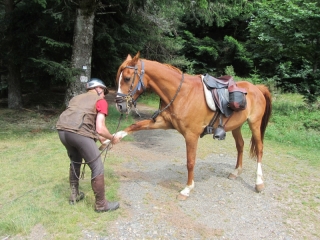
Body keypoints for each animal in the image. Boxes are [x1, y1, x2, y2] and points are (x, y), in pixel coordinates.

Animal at [112, 52, 270, 201]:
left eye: (127, 78)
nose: (119, 106)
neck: (182, 93)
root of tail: (257, 88)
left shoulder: (191, 135)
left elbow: (190, 162)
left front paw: (187, 189)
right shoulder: (162, 122)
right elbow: (136, 125)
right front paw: (113, 138)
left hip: (254, 124)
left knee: (260, 149)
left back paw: (259, 183)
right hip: (236, 126)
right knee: (240, 145)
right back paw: (236, 172)